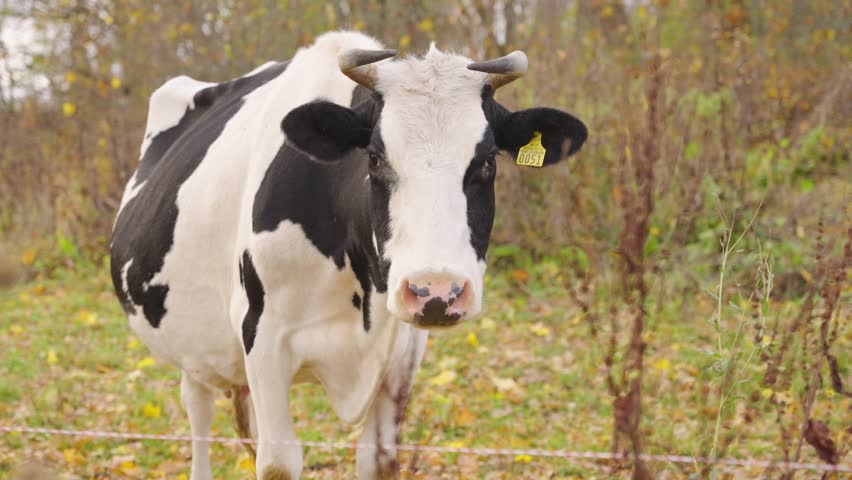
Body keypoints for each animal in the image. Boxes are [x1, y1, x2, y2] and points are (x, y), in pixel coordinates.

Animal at [110, 31, 587, 480]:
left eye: (487, 162)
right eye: (374, 159)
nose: (435, 292)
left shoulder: (403, 354)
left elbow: (376, 460)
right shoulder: (262, 338)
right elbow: (279, 461)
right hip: (191, 348)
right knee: (199, 415)